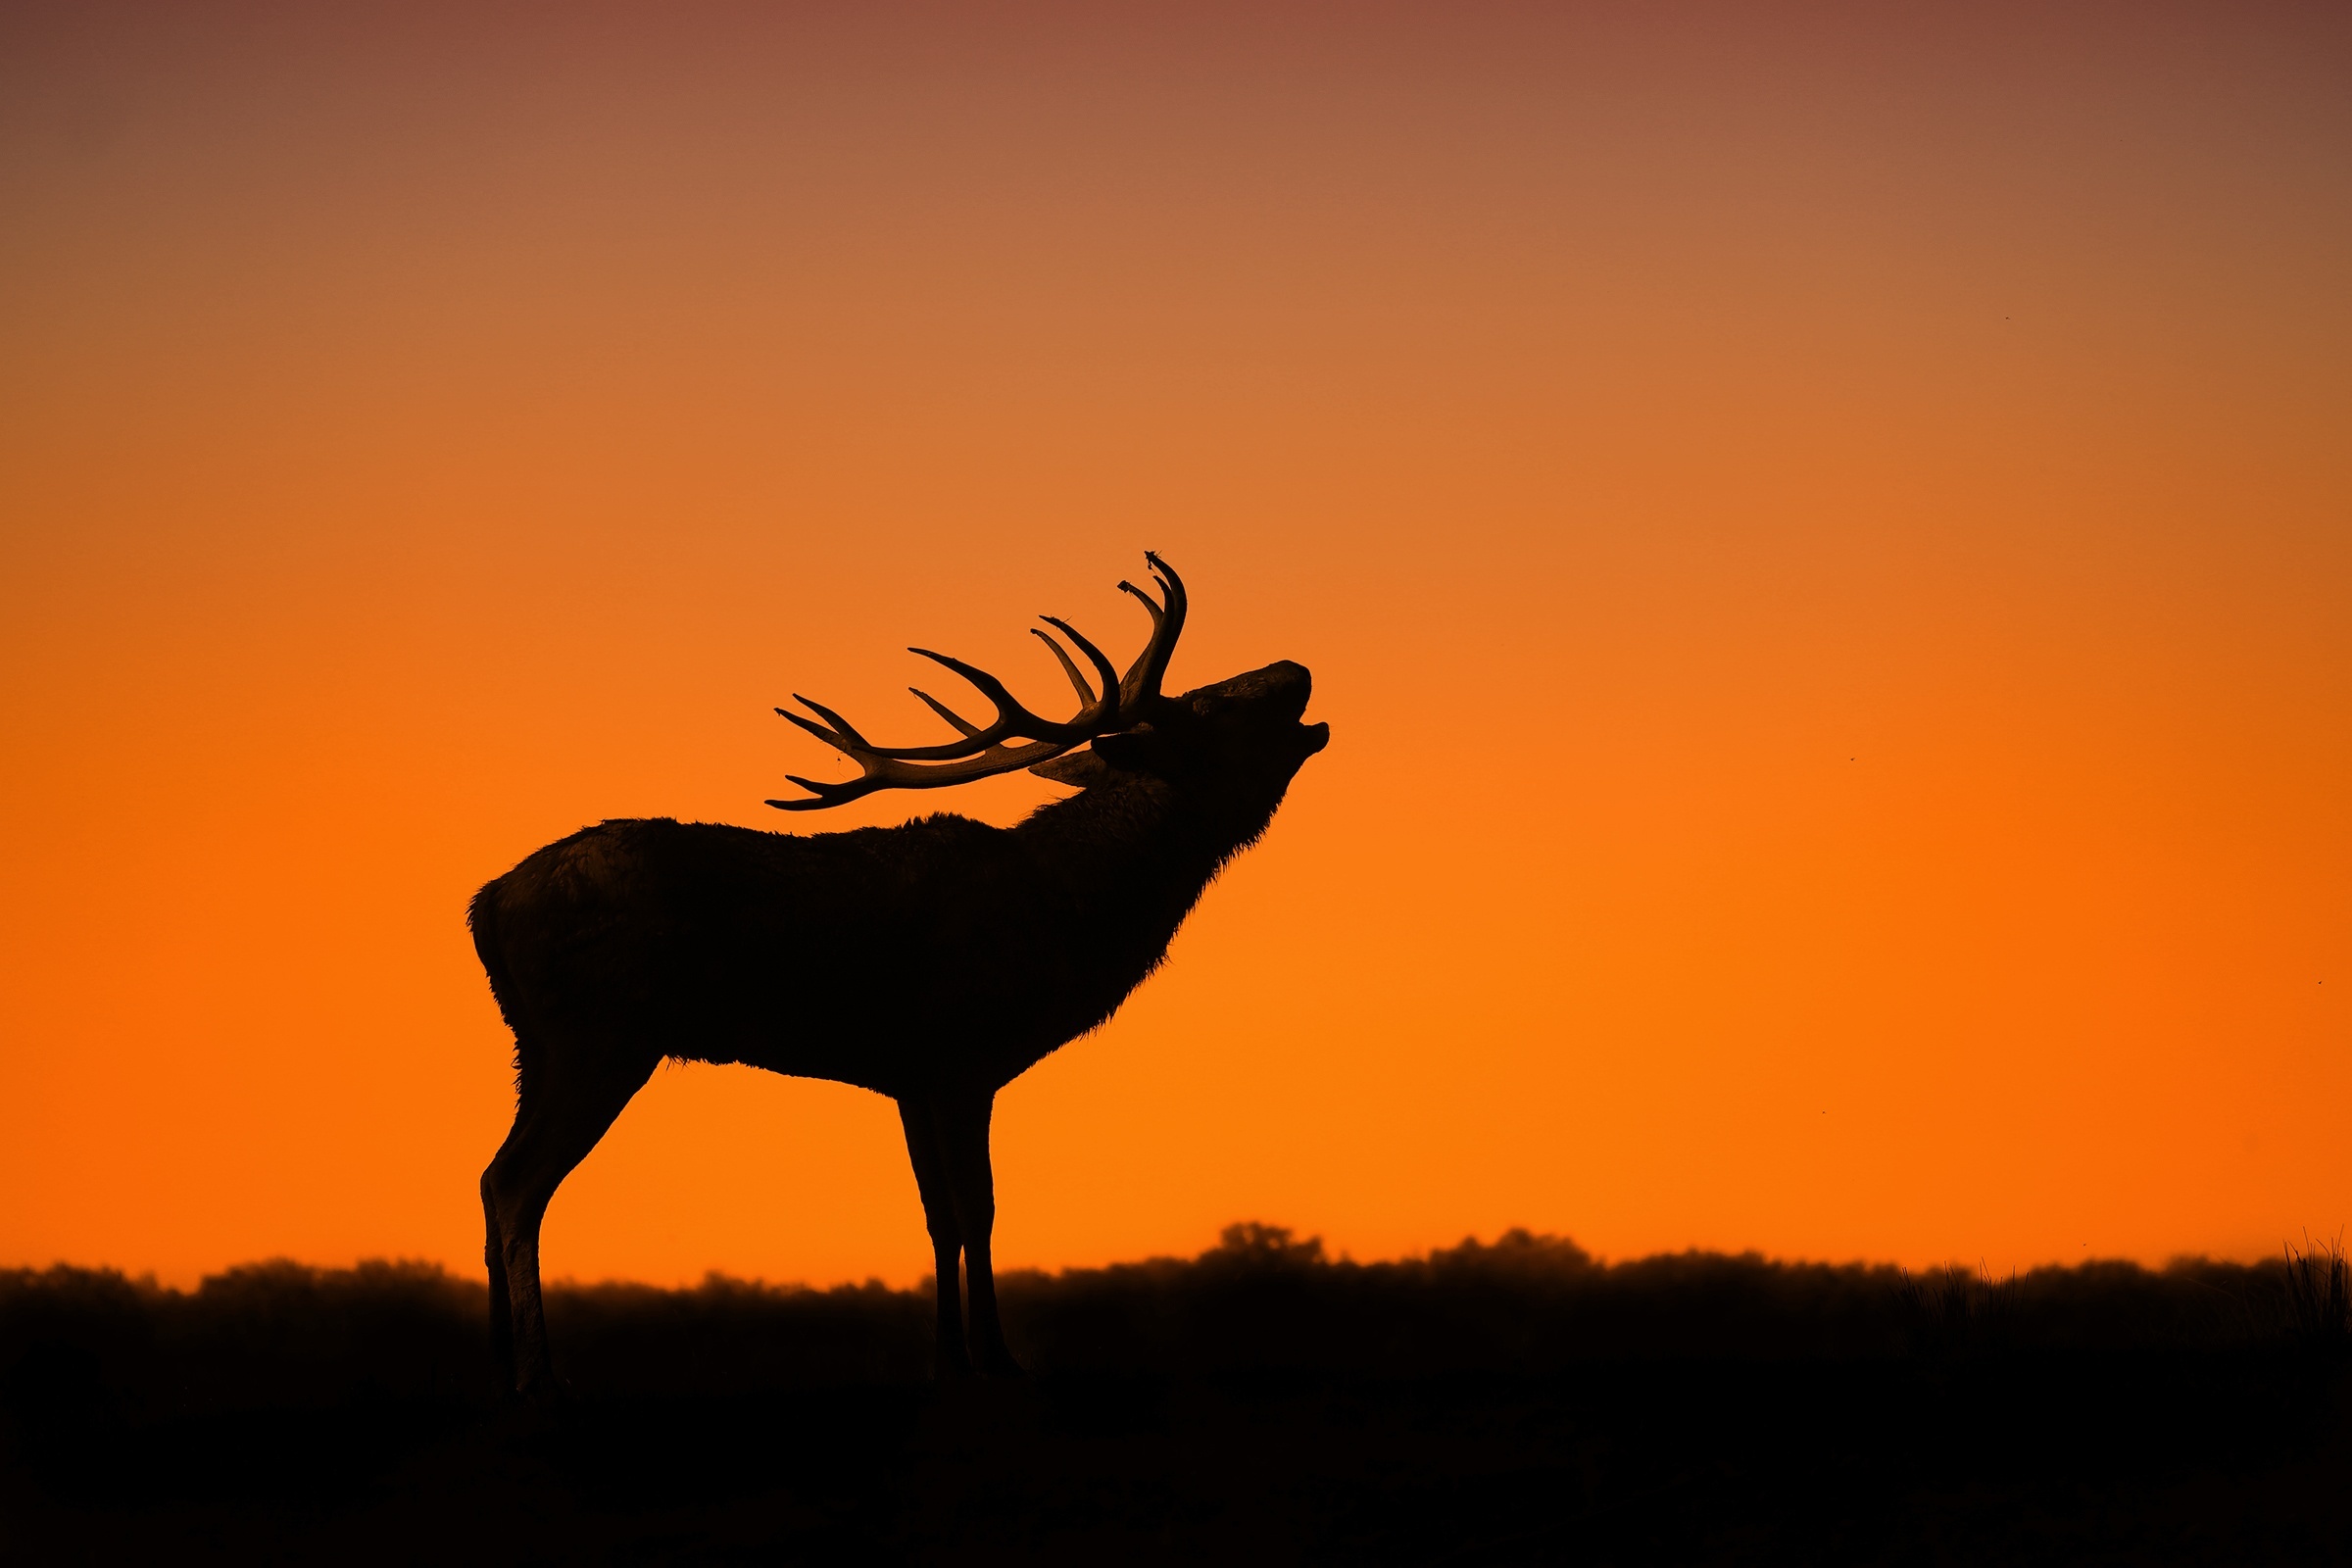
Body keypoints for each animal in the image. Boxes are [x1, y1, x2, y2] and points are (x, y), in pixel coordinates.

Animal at [470, 554, 1328, 1399]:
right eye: (1210, 708)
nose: (1296, 668)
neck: (1067, 914)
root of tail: (487, 902)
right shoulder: (964, 1056)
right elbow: (979, 1209)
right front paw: (1000, 1360)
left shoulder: (910, 1076)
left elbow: (936, 1216)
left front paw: (949, 1358)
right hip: (598, 1036)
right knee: (517, 1185)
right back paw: (538, 1374)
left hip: (533, 1047)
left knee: (487, 1177)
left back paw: (499, 1365)